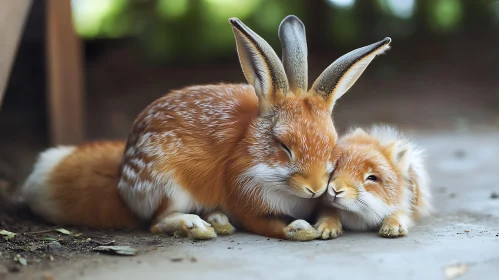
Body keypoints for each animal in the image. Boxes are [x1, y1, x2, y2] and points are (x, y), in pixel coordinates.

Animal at [22, 14, 390, 241]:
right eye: (284, 146)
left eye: (331, 148)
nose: (315, 188)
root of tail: (122, 178)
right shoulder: (244, 199)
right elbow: (270, 225)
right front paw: (300, 229)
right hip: (170, 187)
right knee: (155, 223)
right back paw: (196, 226)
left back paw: (216, 221)